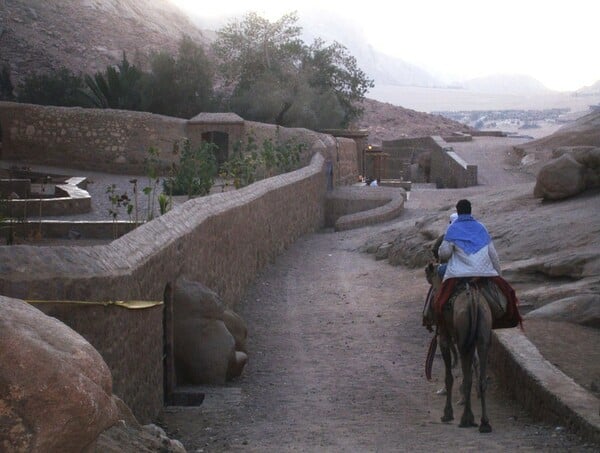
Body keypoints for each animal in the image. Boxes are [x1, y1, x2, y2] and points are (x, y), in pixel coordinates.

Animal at [422, 264, 492, 432]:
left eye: (431, 293)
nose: (426, 317)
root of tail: (473, 303)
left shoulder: (444, 339)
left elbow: (449, 377)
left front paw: (447, 413)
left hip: (463, 341)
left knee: (468, 377)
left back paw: (466, 418)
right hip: (482, 337)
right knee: (481, 378)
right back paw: (484, 422)